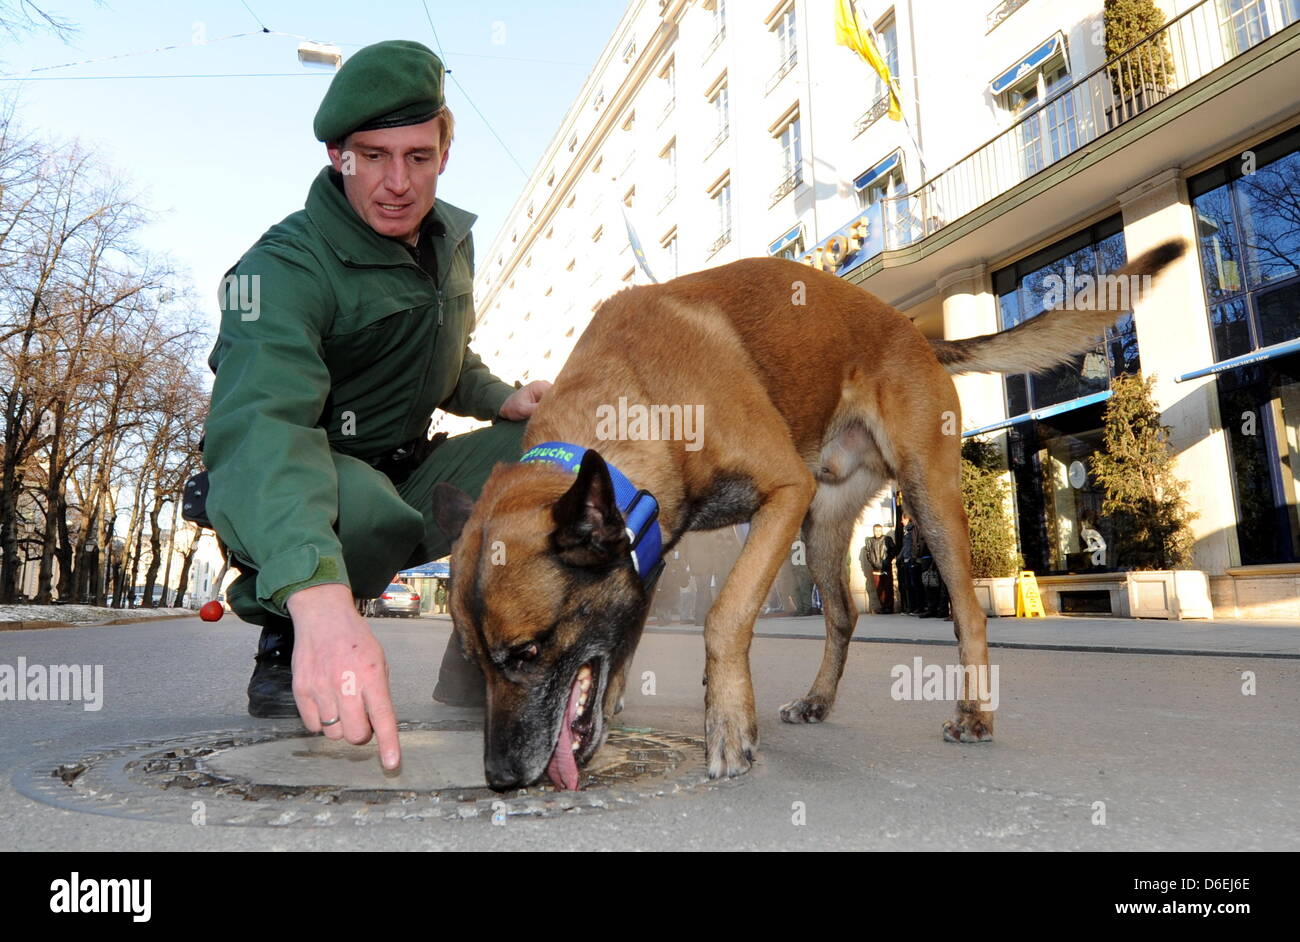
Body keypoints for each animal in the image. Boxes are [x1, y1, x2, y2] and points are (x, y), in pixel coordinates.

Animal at [431, 239, 1185, 789]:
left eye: (527, 654)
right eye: (477, 661)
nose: (500, 777)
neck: (636, 392)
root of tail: (916, 333)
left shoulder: (779, 494)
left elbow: (725, 616)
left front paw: (728, 722)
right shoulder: (656, 549)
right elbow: (622, 640)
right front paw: (616, 704)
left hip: (925, 496)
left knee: (967, 612)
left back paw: (974, 714)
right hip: (822, 527)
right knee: (844, 614)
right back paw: (819, 700)